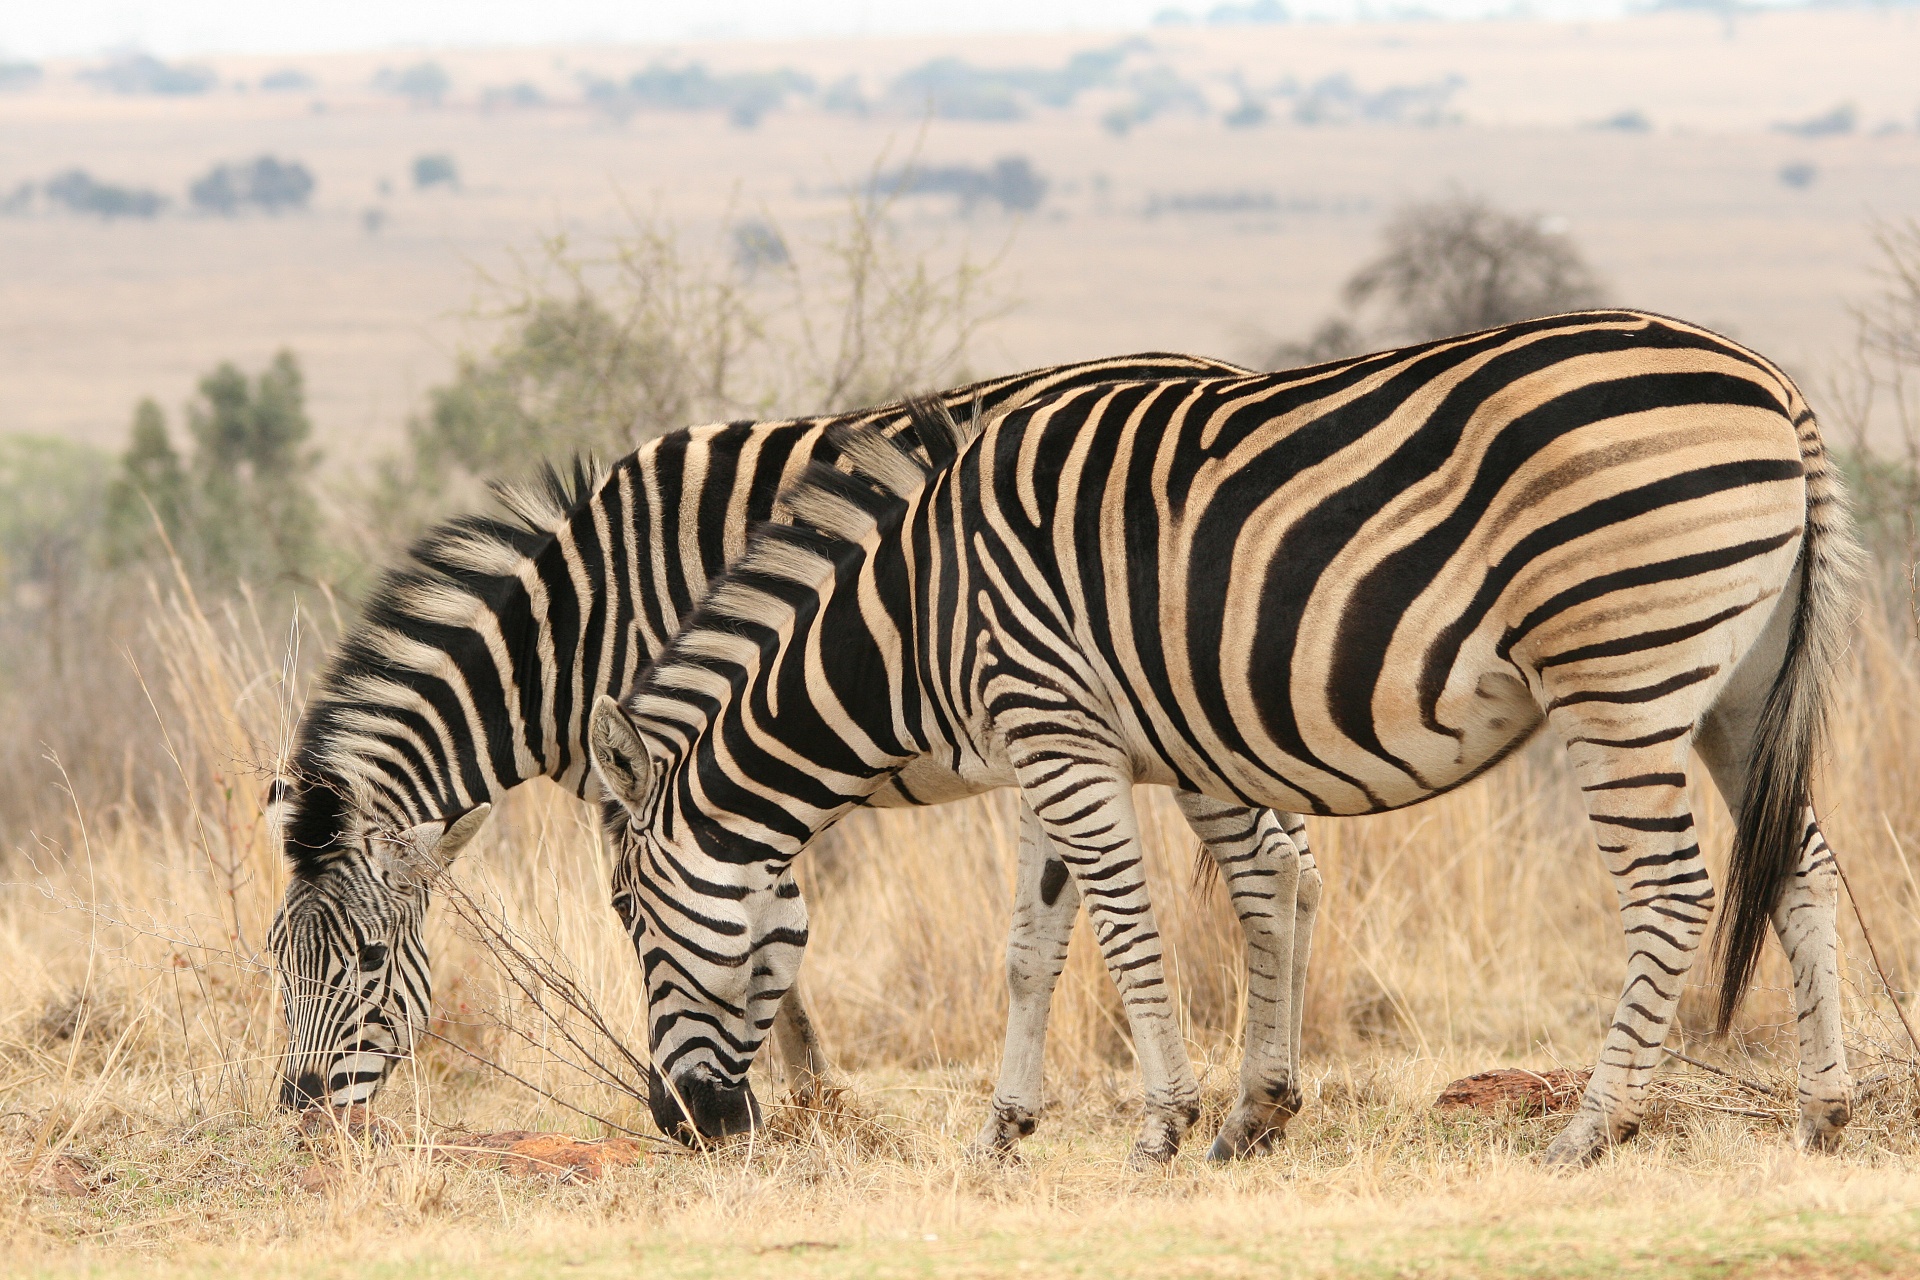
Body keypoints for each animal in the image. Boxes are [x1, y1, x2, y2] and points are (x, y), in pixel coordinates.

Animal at [266, 353, 1320, 1159]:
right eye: (276, 960)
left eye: (367, 960)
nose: (301, 1116)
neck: (571, 635)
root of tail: (1217, 369)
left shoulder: (667, 766)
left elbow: (724, 927)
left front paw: (777, 1101)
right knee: (1299, 873)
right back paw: (1273, 1104)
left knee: (1269, 869)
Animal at [591, 310, 1866, 1174]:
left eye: (631, 919)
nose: (682, 1123)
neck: (917, 613)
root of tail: (1774, 385)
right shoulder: (1045, 741)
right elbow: (1035, 945)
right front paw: (1008, 1131)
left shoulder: (1056, 728)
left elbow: (1125, 925)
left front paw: (1164, 1123)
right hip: (1741, 682)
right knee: (1800, 865)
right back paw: (1825, 1111)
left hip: (1621, 673)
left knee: (1674, 888)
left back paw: (1595, 1128)